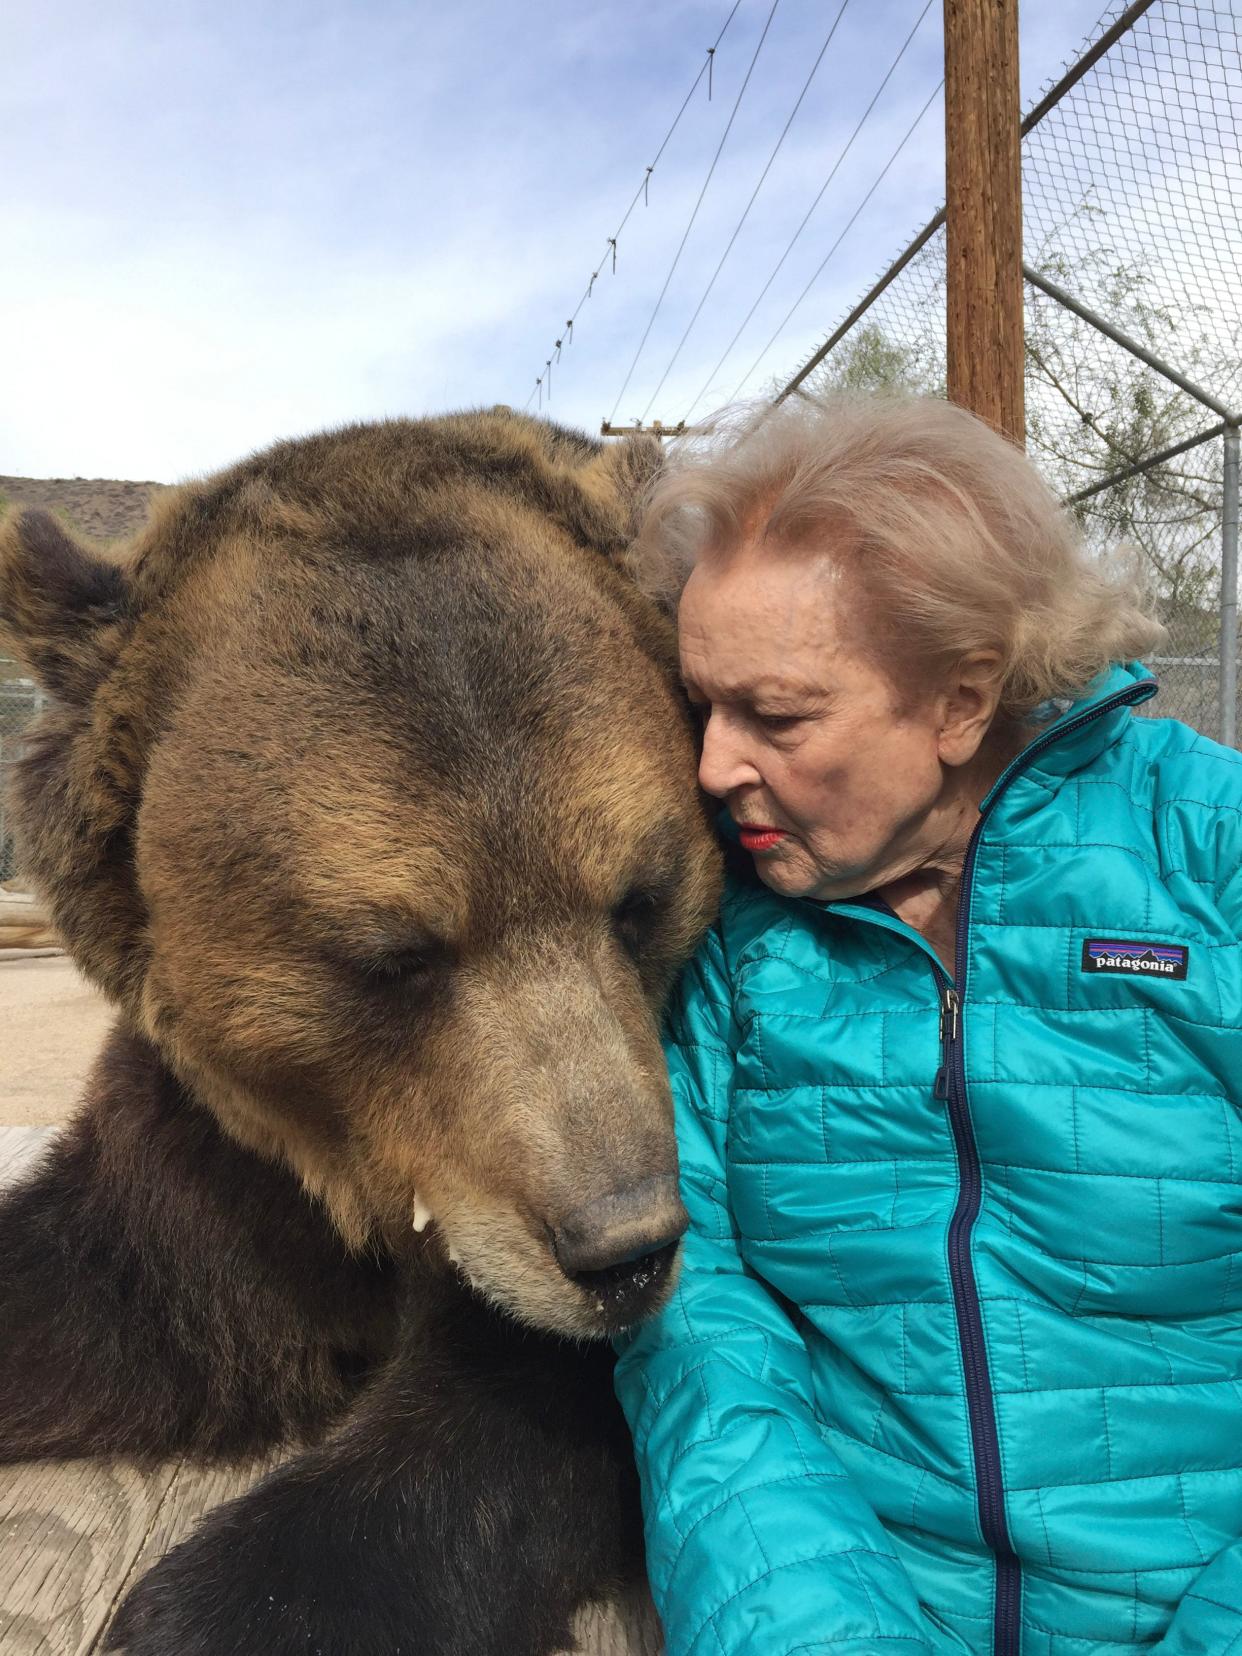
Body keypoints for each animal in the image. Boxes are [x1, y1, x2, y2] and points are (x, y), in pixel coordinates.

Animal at [0, 407, 725, 1649]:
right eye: (397, 954)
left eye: (639, 898)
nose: (622, 1247)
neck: (354, 1181)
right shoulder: (207, 1163)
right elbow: (109, 1287)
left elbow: (520, 1407)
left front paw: (220, 1603)